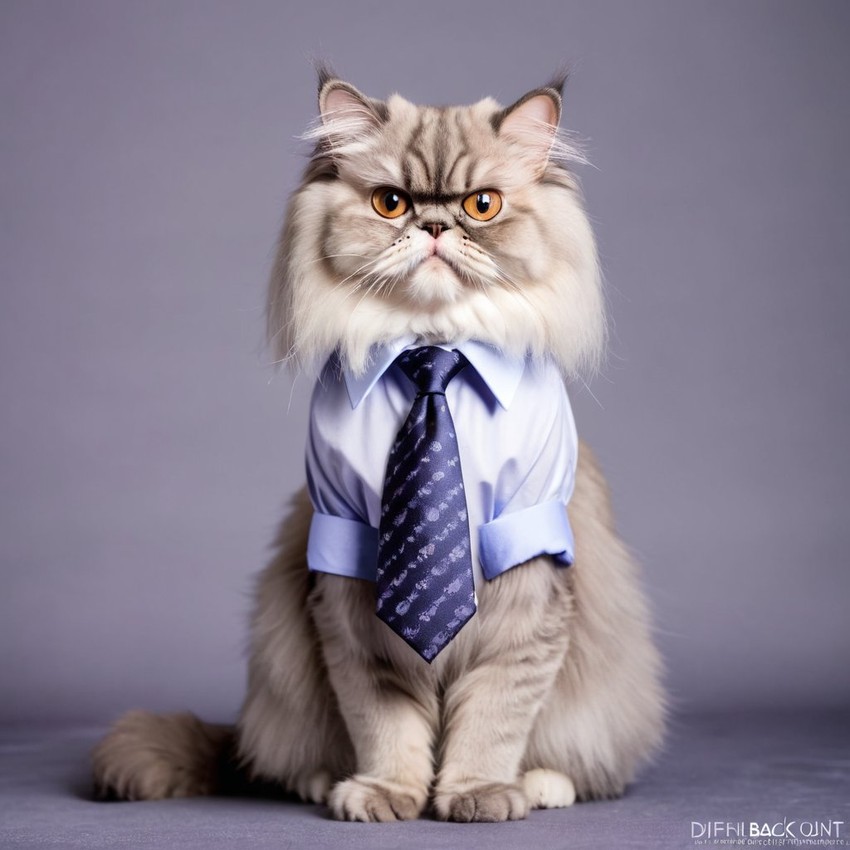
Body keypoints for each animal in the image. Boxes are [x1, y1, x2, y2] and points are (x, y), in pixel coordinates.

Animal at [91, 68, 664, 820]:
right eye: (390, 203)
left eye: (482, 206)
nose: (435, 225)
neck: (434, 357)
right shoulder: (352, 561)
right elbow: (382, 717)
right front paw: (389, 793)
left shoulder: (525, 563)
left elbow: (494, 716)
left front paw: (475, 794)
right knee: (281, 754)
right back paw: (322, 782)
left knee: (573, 757)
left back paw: (540, 787)